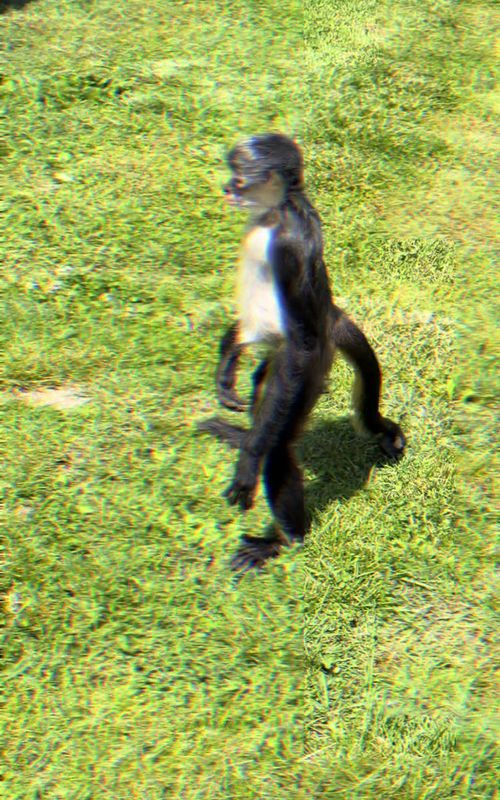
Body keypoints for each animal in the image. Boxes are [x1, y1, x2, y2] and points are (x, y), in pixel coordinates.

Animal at [199, 133, 405, 571]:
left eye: (239, 177)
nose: (226, 188)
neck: (276, 214)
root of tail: (332, 315)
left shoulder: (290, 246)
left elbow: (300, 338)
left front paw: (249, 462)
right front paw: (227, 362)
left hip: (306, 370)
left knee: (278, 450)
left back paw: (283, 540)